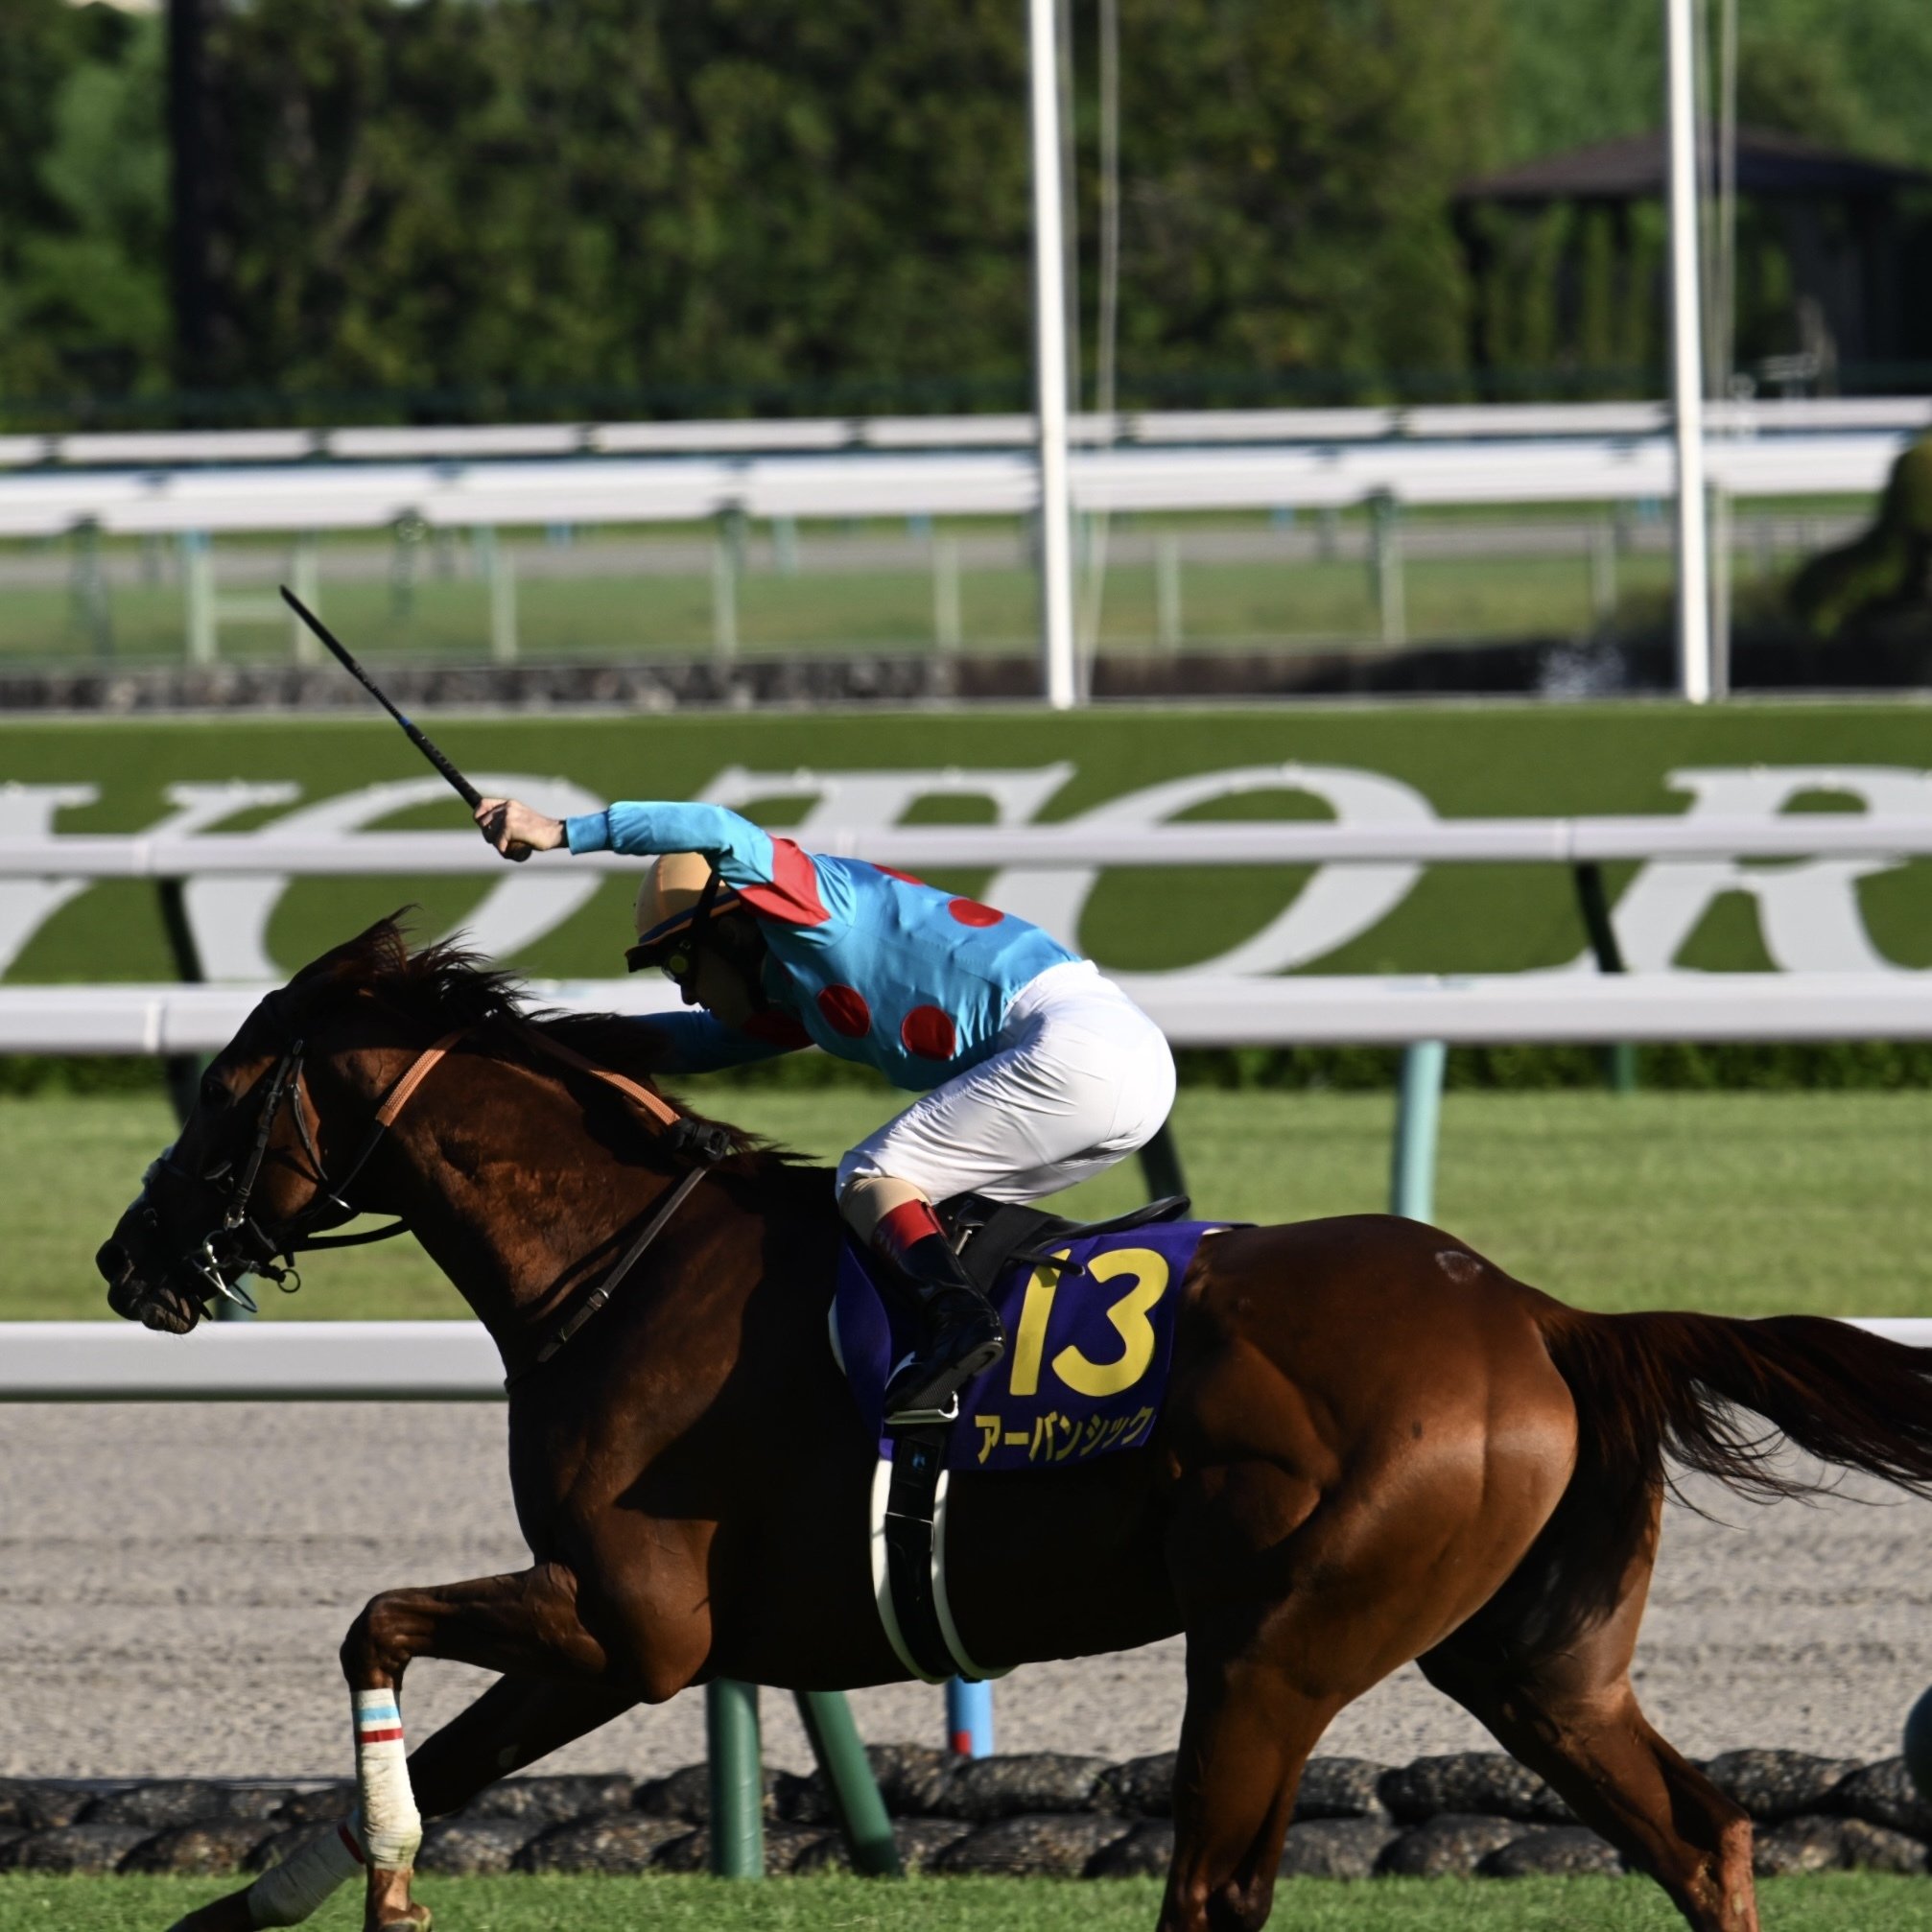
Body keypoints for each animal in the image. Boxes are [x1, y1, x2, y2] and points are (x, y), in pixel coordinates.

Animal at [95, 917, 1932, 1932]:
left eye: (228, 1089)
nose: (124, 1257)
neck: (619, 1263)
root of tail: (1539, 1312)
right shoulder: (611, 1637)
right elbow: (420, 1751)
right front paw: (280, 1892)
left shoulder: (635, 1615)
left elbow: (373, 1618)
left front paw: (393, 1870)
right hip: (1524, 1655)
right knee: (1701, 1835)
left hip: (1275, 1641)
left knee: (1213, 1885)